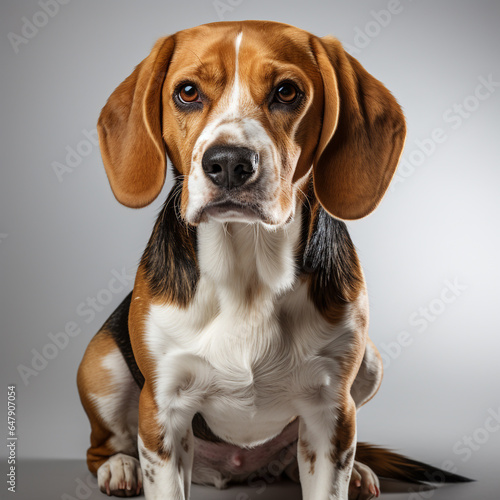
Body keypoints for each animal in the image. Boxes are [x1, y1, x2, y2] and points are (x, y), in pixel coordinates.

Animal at [77, 20, 468, 500]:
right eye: (187, 92)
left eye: (286, 92)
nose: (229, 162)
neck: (248, 269)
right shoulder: (163, 412)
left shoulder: (330, 414)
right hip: (102, 365)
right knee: (104, 443)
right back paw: (119, 466)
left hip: (370, 366)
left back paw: (355, 472)